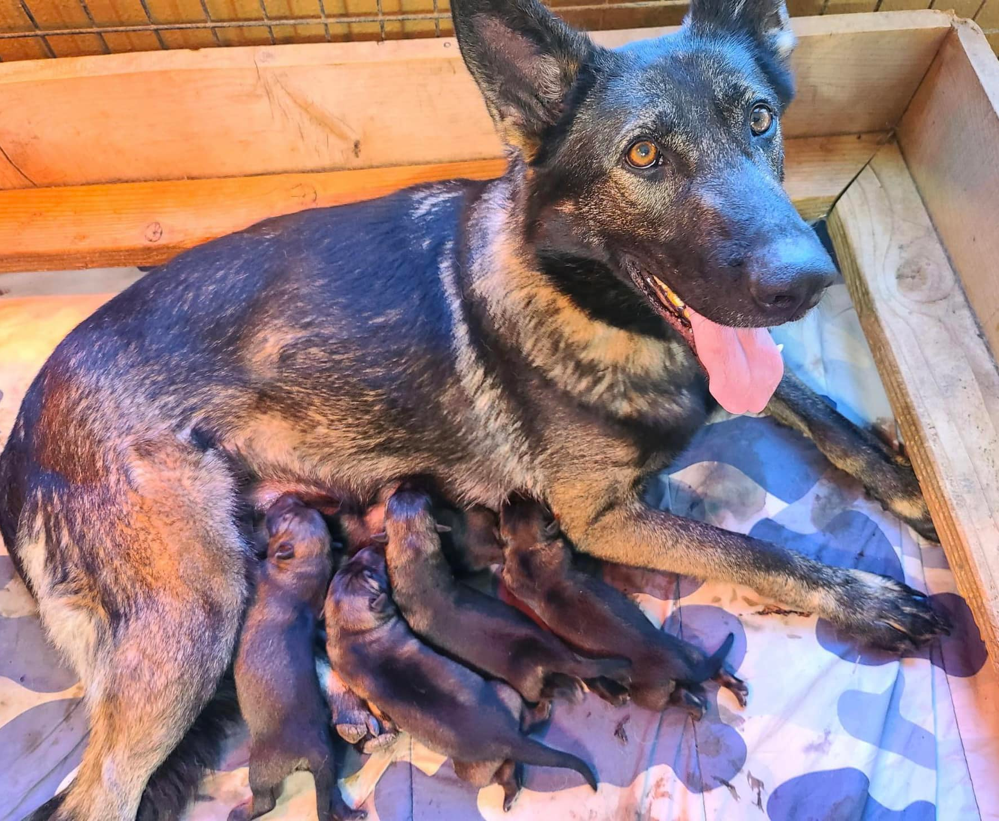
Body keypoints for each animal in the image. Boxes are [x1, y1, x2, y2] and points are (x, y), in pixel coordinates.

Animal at [229, 496, 364, 820]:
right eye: (299, 507)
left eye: (287, 517)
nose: (286, 497)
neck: (303, 571)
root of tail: (314, 755)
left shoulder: (259, 570)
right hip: (329, 772)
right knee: (331, 797)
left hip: (260, 768)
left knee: (265, 802)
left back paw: (239, 812)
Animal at [324, 544, 596, 808]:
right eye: (369, 574)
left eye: (362, 571)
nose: (370, 548)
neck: (352, 632)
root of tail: (506, 737)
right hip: (499, 707)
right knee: (514, 753)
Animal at [498, 494, 744, 716]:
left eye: (516, 504)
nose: (514, 492)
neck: (526, 548)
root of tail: (681, 667)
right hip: (674, 673)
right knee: (695, 687)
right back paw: (718, 699)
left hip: (676, 668)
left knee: (701, 683)